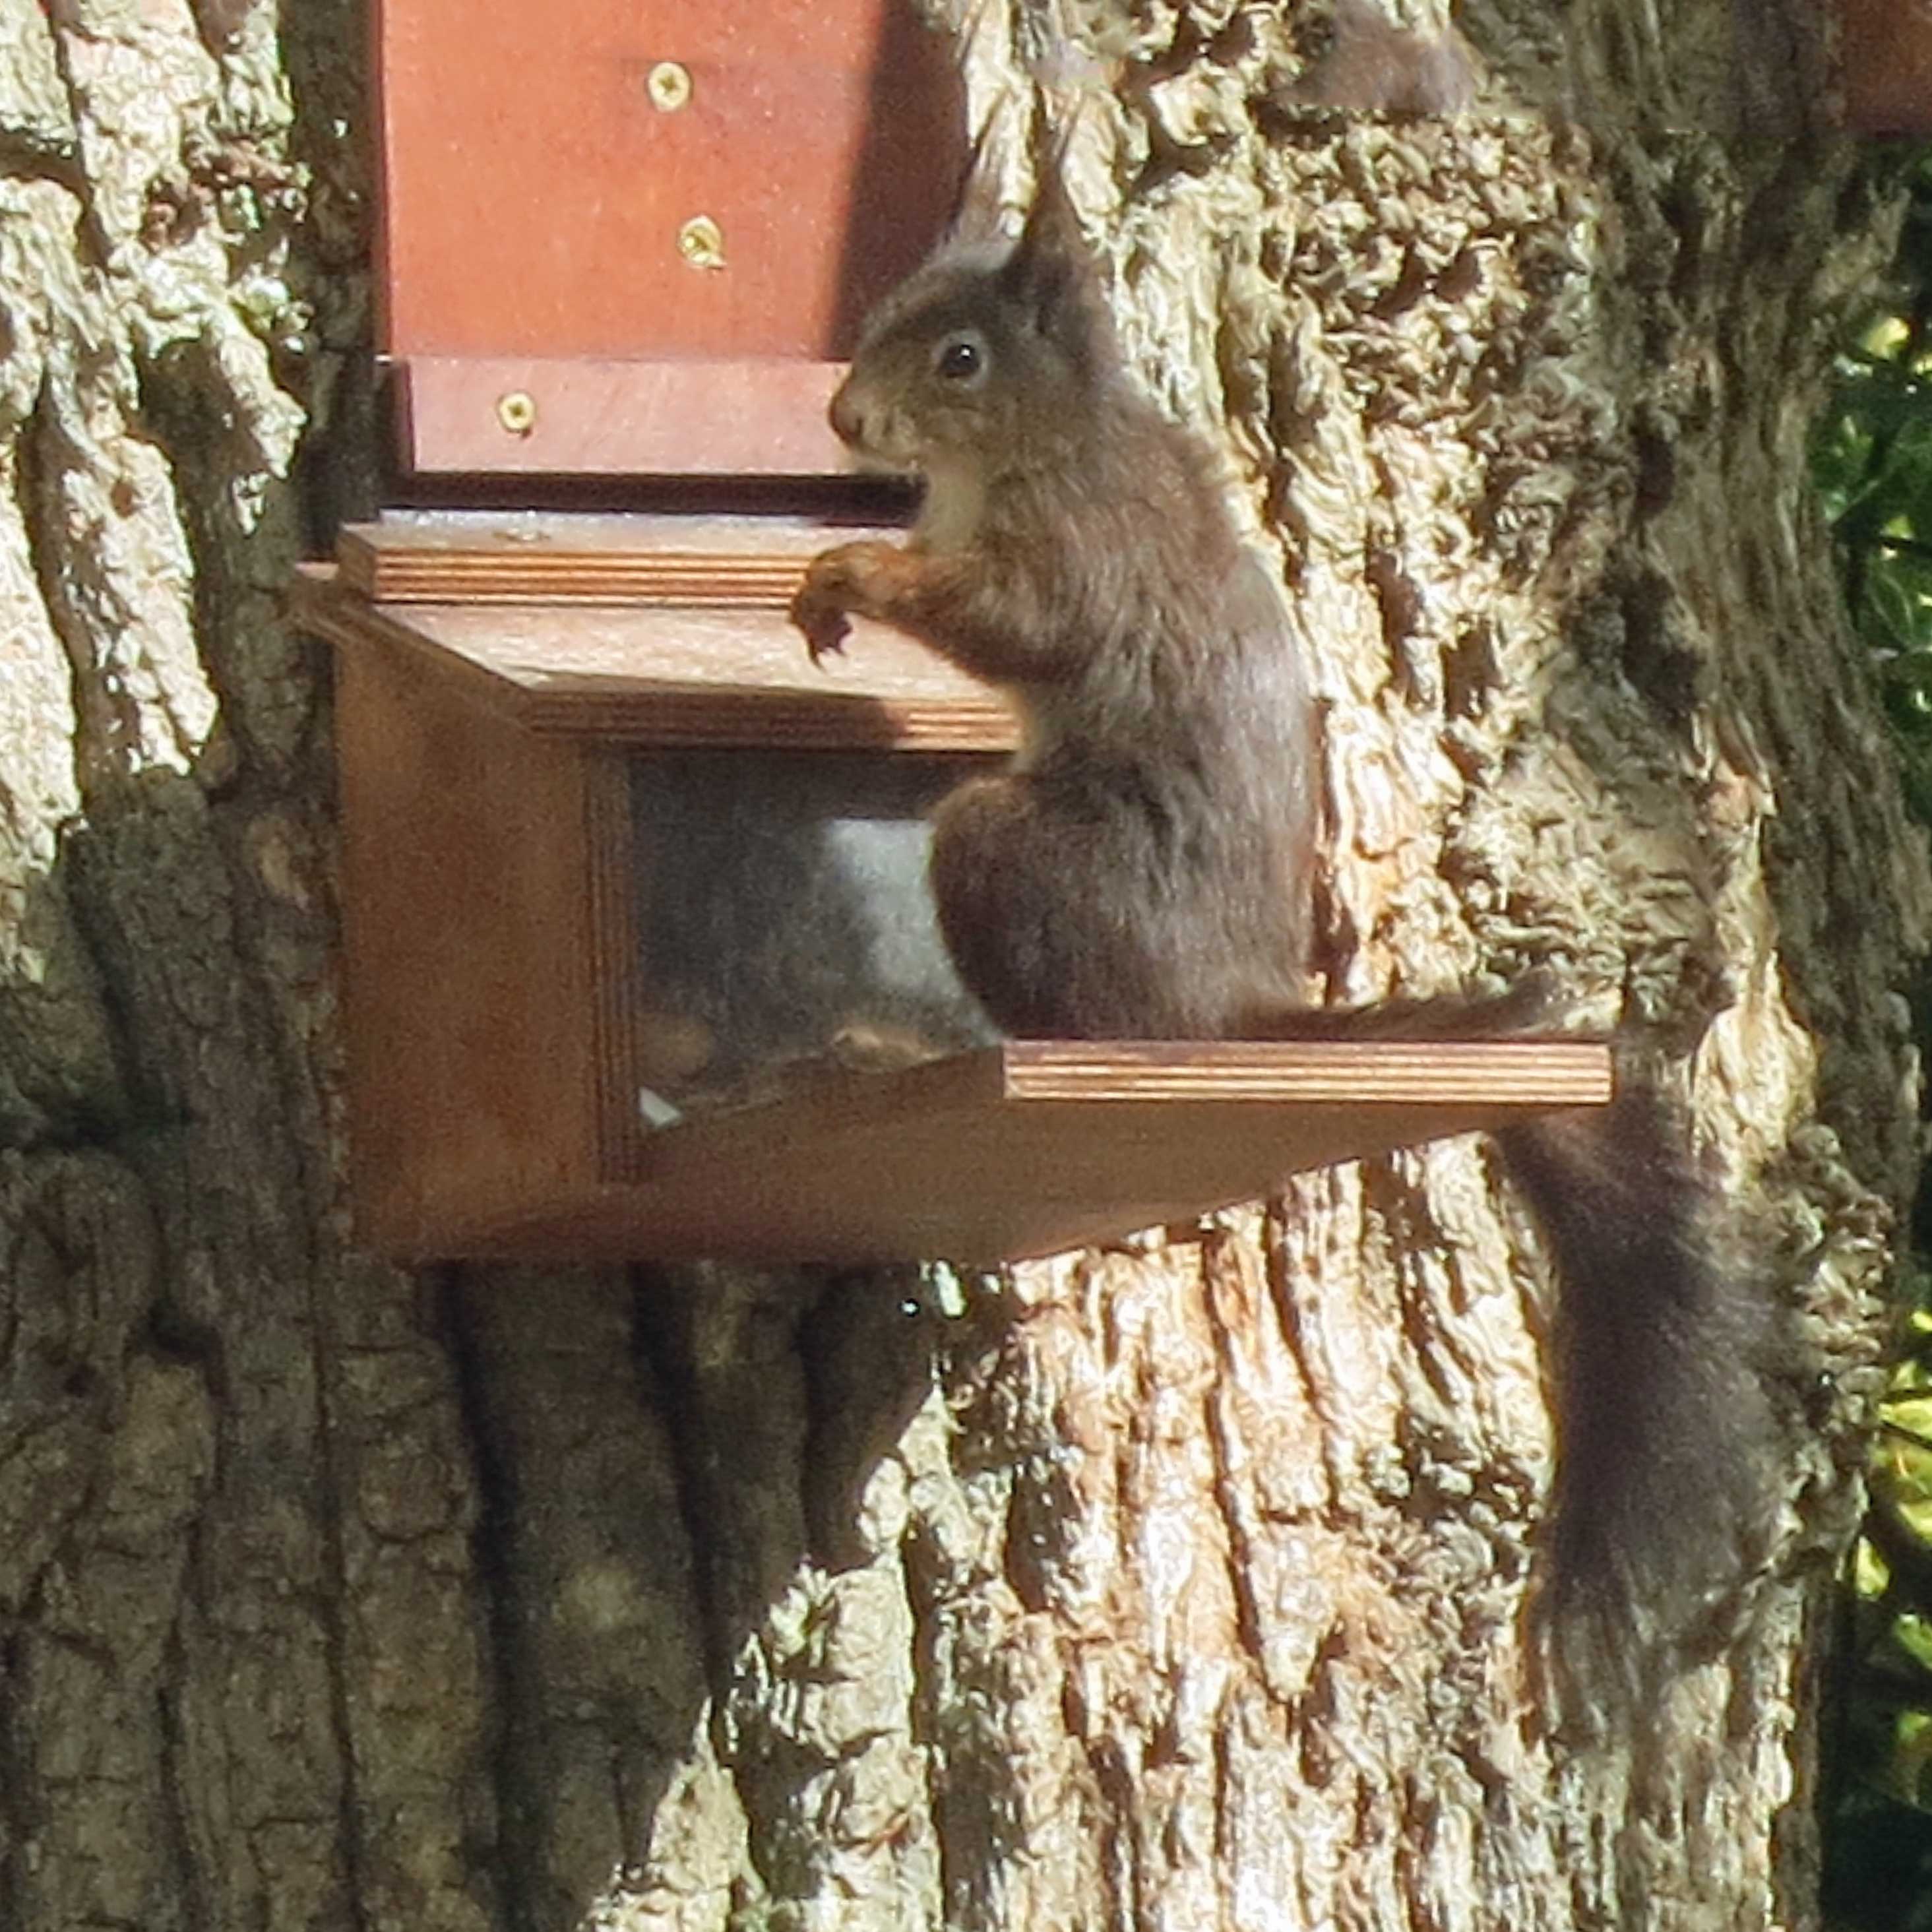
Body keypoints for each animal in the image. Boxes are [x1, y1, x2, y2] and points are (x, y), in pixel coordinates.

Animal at [792, 166, 1785, 1708]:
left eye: (959, 357)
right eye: (888, 308)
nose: (845, 421)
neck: (1050, 434)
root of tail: (1230, 1013)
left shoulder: (1078, 546)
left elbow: (1012, 621)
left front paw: (853, 573)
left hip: (1014, 862)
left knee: (1067, 1016)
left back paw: (910, 1044)